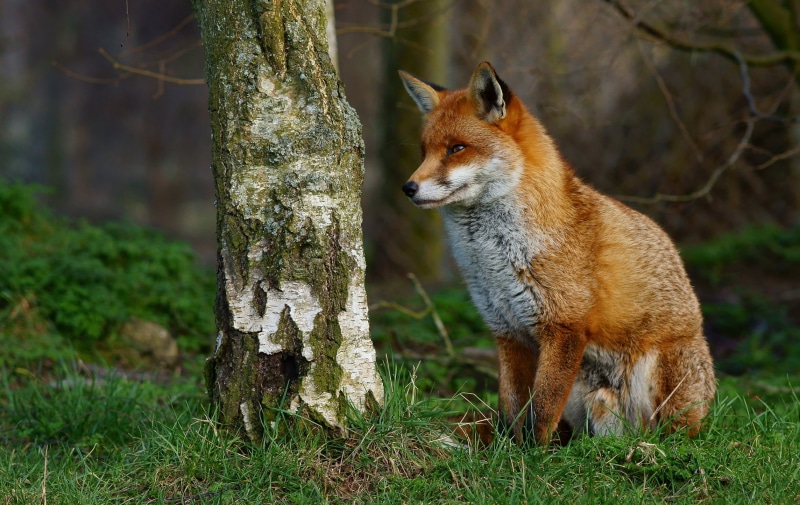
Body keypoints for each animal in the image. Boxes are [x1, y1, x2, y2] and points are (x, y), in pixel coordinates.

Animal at [398, 62, 716, 445]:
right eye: (424, 152)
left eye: (457, 148)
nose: (408, 187)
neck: (494, 257)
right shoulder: (508, 331)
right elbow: (513, 408)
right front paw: (509, 451)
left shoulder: (563, 327)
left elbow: (543, 409)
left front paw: (534, 455)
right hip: (591, 398)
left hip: (661, 372)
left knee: (675, 435)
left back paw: (651, 448)